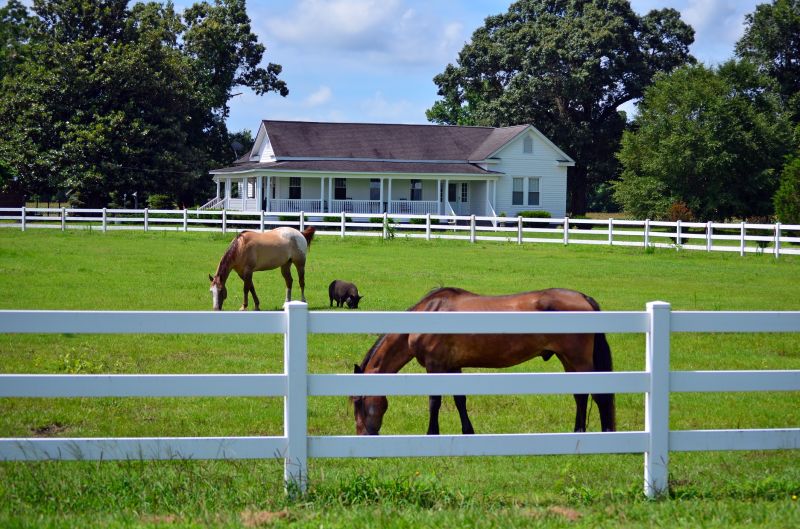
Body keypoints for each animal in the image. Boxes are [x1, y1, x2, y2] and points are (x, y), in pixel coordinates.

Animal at [352, 287, 616, 435]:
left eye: (357, 402)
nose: (363, 435)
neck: (429, 313)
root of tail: (583, 298)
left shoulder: (436, 366)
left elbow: (434, 402)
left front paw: (432, 433)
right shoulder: (452, 366)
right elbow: (460, 400)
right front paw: (468, 431)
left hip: (578, 360)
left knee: (599, 397)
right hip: (568, 359)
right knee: (580, 396)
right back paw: (578, 431)